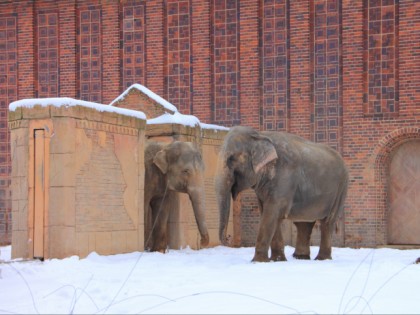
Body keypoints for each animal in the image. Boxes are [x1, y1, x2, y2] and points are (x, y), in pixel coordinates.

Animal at [217, 125, 348, 262]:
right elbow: (270, 214)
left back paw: (321, 259)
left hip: (341, 189)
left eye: (231, 159)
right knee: (304, 223)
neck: (259, 134)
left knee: (327, 222)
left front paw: (258, 262)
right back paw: (301, 257)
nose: (228, 237)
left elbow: (272, 213)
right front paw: (277, 260)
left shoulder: (285, 177)